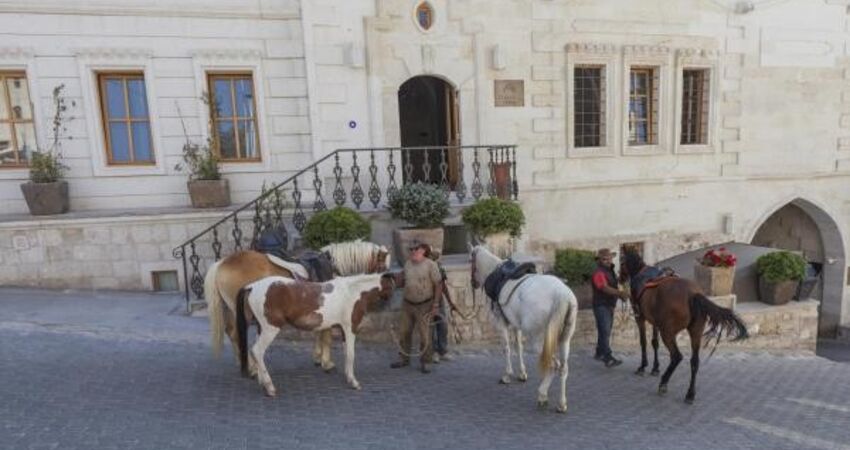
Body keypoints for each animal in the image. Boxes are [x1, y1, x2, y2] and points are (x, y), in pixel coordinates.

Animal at [204, 241, 390, 374]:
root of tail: (221, 263)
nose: (385, 301)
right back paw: (251, 367)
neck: (333, 265)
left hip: (230, 309)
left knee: (232, 333)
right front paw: (327, 362)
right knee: (237, 333)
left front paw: (318, 357)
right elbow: (326, 336)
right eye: (383, 270)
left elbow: (319, 332)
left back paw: (243, 362)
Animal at [235, 272, 394, 396]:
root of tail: (252, 286)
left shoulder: (343, 329)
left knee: (256, 352)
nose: (387, 305)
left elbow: (346, 353)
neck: (352, 292)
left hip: (261, 328)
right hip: (270, 329)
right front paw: (353, 382)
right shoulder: (350, 328)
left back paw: (262, 382)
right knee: (257, 350)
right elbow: (350, 354)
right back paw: (270, 387)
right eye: (391, 286)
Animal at [468, 244, 580, 414]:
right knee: (563, 368)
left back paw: (542, 395)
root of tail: (561, 295)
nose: (473, 283)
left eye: (470, 262)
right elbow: (519, 347)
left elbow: (507, 348)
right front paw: (522, 373)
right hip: (564, 339)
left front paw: (507, 375)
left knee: (553, 365)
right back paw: (561, 404)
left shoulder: (501, 323)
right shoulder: (516, 325)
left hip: (539, 341)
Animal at [620, 250, 744, 404]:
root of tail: (693, 294)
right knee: (694, 361)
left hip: (668, 333)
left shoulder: (640, 318)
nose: (619, 277)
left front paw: (643, 366)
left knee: (676, 356)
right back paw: (690, 394)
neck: (641, 272)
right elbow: (654, 343)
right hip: (695, 332)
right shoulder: (656, 322)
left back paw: (664, 383)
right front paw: (655, 368)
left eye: (621, 262)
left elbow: (643, 342)